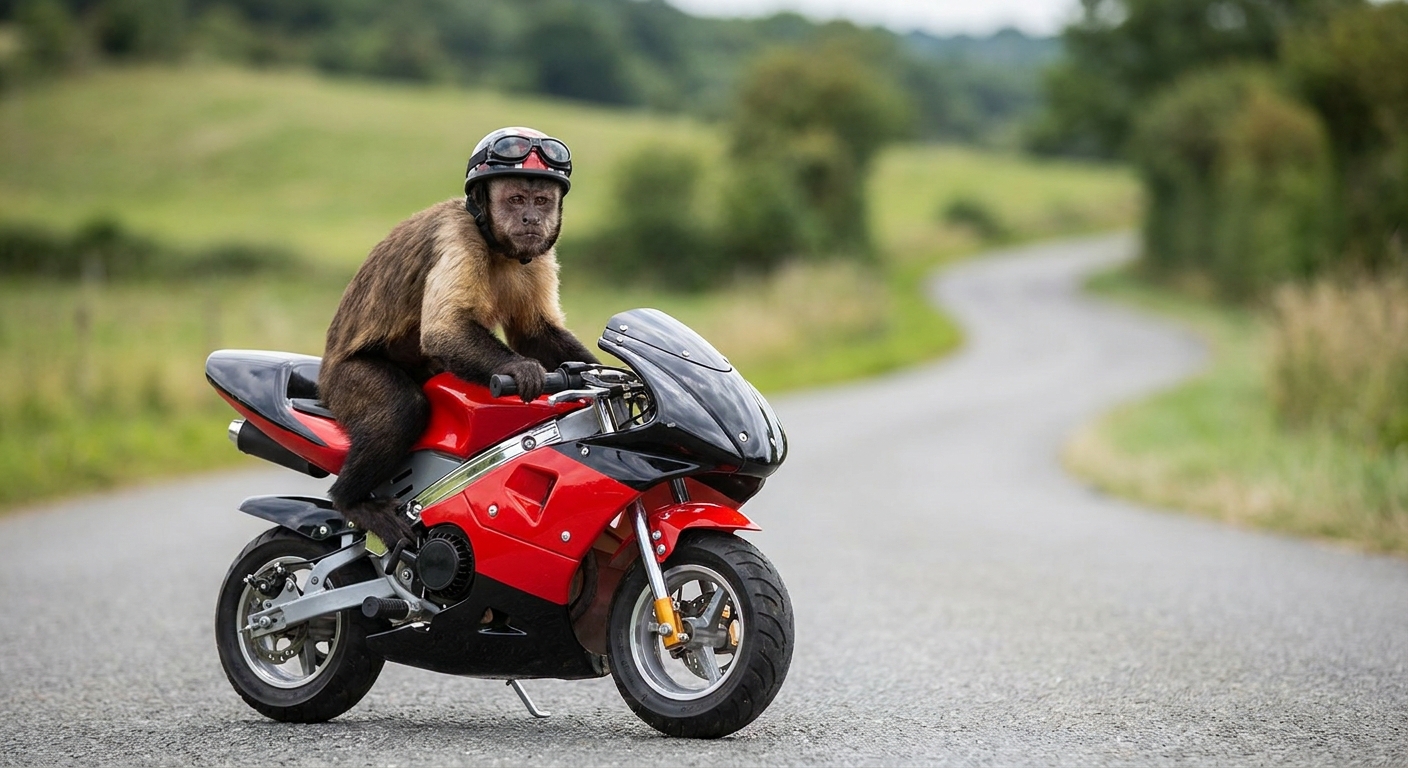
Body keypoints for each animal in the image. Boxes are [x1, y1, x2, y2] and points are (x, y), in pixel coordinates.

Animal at [319, 127, 598, 546]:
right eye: (516, 199)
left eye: (541, 201)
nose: (531, 217)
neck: (496, 243)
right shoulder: (459, 237)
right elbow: (444, 331)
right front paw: (522, 371)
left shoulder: (538, 255)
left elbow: (533, 333)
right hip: (341, 383)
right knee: (401, 409)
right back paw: (351, 502)